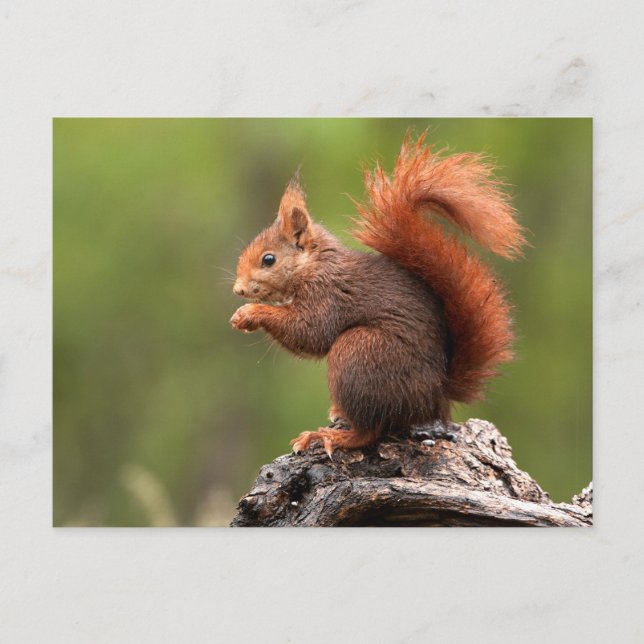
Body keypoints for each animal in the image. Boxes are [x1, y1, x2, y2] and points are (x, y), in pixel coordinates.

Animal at [230, 133, 526, 457]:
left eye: (268, 259)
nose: (238, 289)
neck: (313, 265)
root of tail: (436, 396)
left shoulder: (328, 294)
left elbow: (311, 332)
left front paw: (251, 313)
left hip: (359, 353)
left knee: (370, 430)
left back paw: (332, 436)